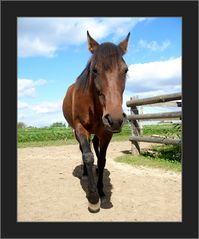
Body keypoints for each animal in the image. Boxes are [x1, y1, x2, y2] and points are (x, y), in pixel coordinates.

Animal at [62, 31, 131, 213]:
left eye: (125, 70)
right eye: (94, 70)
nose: (115, 119)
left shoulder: (106, 133)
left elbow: (102, 159)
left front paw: (100, 190)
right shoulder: (80, 128)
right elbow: (88, 156)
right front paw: (93, 198)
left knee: (95, 146)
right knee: (83, 150)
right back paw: (86, 173)